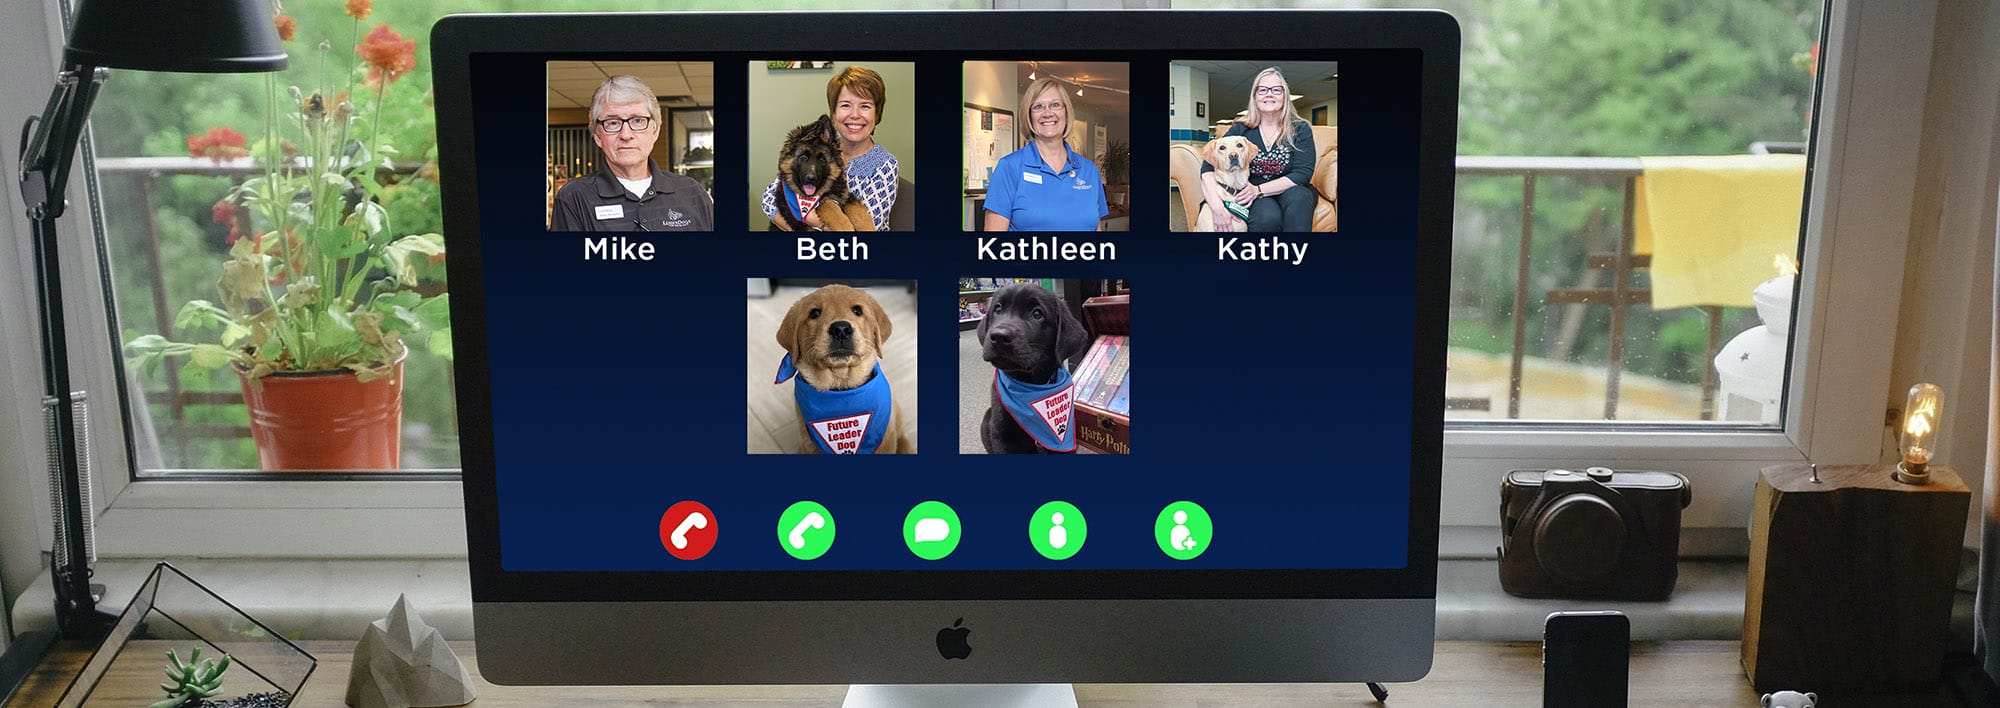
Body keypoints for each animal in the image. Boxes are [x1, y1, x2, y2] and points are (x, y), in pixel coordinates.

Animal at [772, 286, 916, 456]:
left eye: (857, 310)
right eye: (814, 313)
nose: (840, 329)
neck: (841, 386)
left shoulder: (886, 439)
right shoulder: (809, 444)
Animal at [976, 282, 1088, 454]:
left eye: (1037, 314)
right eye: (998, 309)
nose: (999, 336)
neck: (1030, 384)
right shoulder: (1001, 435)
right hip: (987, 420)